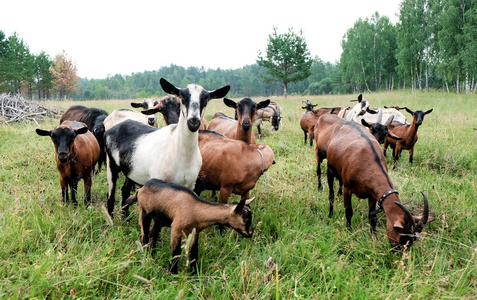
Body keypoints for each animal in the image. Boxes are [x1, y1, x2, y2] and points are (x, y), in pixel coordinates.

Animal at [104, 78, 231, 217]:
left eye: (206, 99)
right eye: (182, 97)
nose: (193, 122)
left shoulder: (190, 185)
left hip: (130, 170)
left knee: (125, 191)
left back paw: (125, 218)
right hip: (111, 164)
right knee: (110, 195)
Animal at [124, 178, 255, 274]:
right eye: (245, 218)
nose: (250, 233)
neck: (195, 209)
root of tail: (141, 189)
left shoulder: (195, 232)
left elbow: (194, 251)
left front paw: (194, 273)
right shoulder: (176, 229)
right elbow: (176, 252)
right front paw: (173, 273)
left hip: (159, 220)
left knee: (153, 235)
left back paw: (152, 254)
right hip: (144, 212)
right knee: (144, 235)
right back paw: (146, 255)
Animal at [312, 113, 432, 247]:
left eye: (412, 240)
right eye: (402, 237)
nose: (397, 251)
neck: (368, 160)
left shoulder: (373, 194)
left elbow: (372, 217)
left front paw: (374, 236)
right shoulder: (348, 189)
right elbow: (349, 212)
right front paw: (349, 231)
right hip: (327, 165)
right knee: (329, 191)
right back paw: (330, 212)